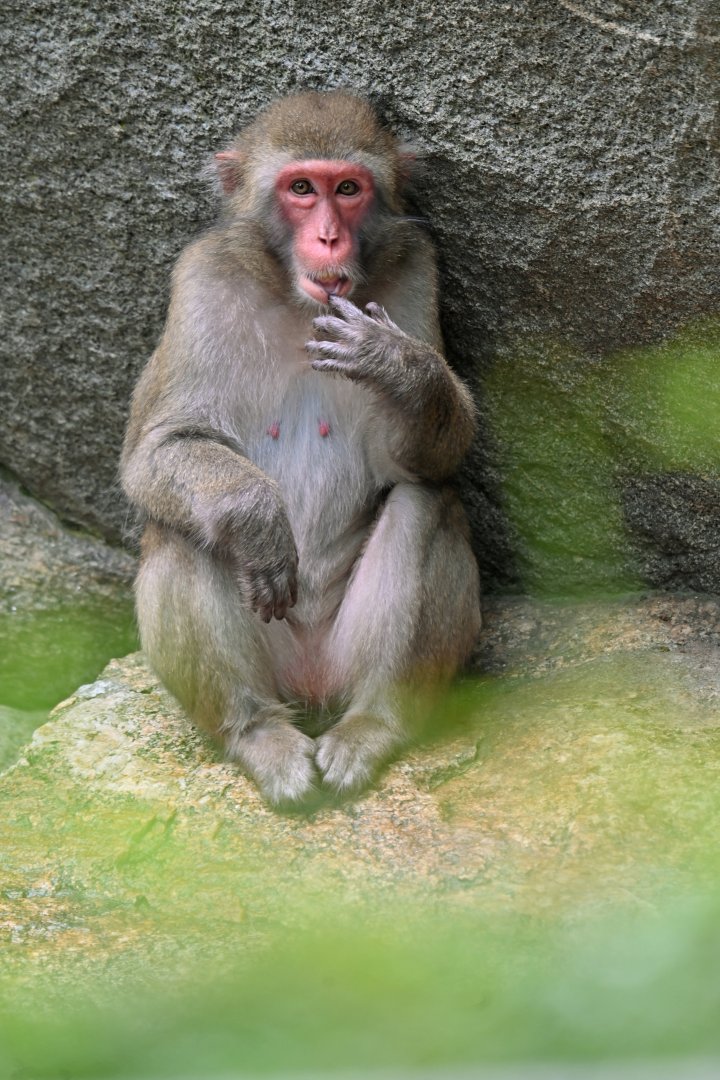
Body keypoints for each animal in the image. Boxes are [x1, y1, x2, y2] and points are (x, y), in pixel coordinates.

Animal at [121, 90, 481, 806]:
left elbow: (430, 460)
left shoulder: (416, 268)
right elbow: (158, 450)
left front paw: (397, 363)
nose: (329, 238)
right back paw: (257, 734)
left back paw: (375, 722)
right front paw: (255, 515)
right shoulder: (200, 281)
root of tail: (312, 686)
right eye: (300, 189)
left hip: (344, 657)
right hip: (273, 653)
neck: (294, 300)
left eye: (347, 189)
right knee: (180, 528)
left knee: (428, 502)